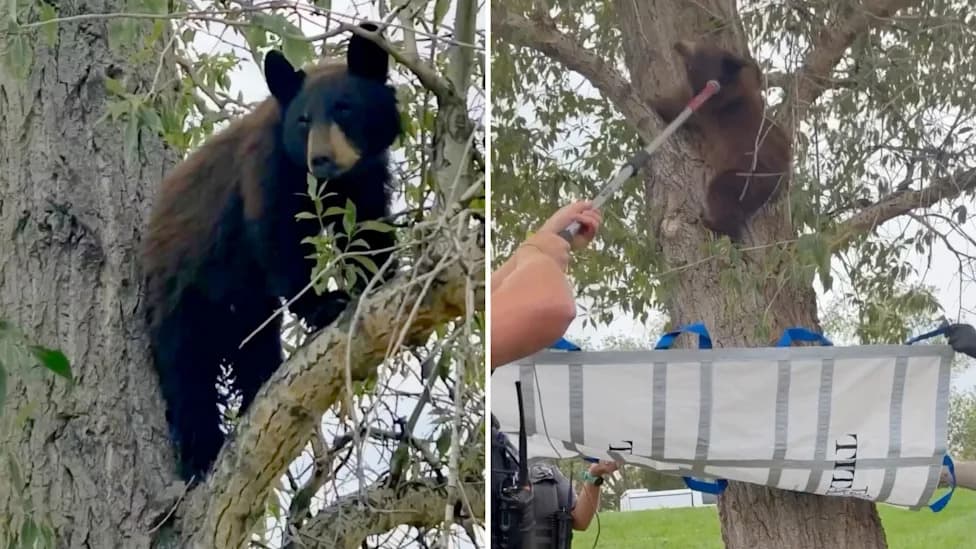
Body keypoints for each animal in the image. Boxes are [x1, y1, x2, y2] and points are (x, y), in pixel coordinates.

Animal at [141, 22, 401, 482]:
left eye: (345, 108)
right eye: (302, 120)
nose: (321, 158)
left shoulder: (364, 177)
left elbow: (365, 225)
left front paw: (381, 271)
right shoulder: (267, 173)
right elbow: (279, 240)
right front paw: (324, 303)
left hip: (245, 310)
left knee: (255, 349)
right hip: (181, 298)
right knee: (186, 374)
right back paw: (200, 455)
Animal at [650, 40, 792, 241]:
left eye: (691, 64)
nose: (679, 45)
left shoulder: (713, 111)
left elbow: (680, 109)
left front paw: (655, 102)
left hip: (748, 177)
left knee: (720, 193)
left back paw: (715, 225)